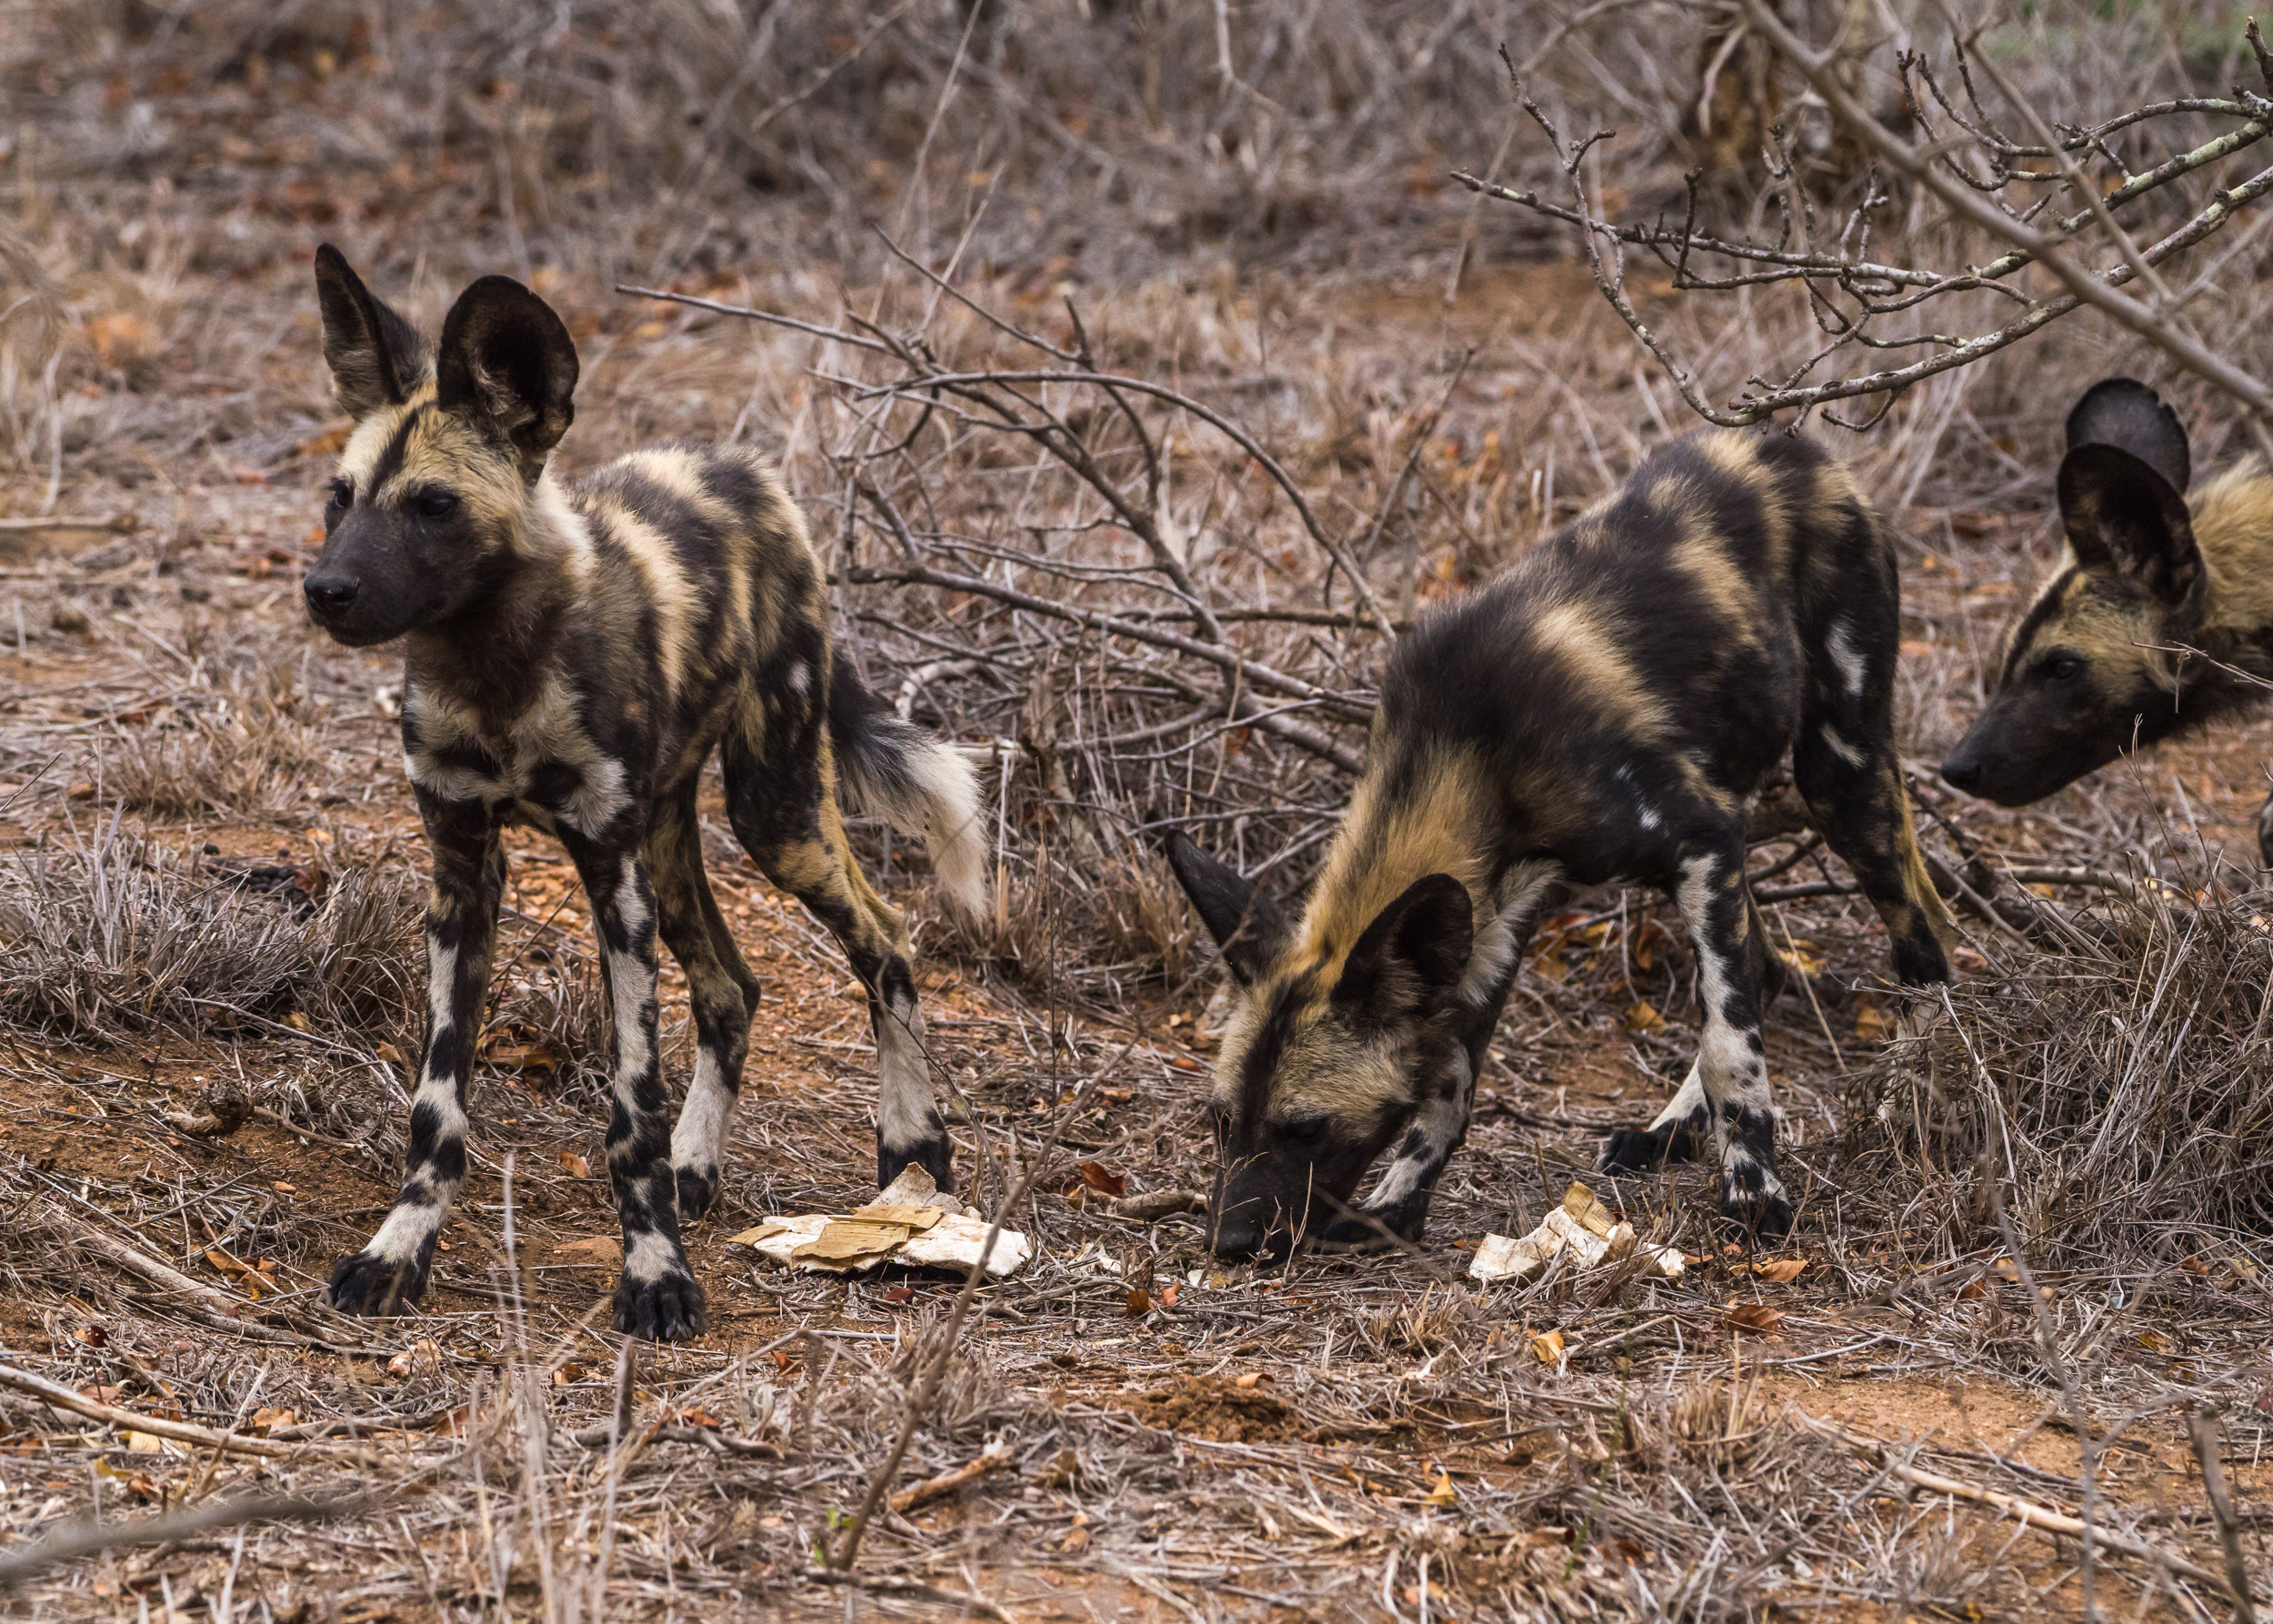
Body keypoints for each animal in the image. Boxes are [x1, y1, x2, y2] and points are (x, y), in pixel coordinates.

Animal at [302, 246, 986, 1337]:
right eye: (340, 496)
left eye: (433, 506)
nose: (325, 590)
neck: (495, 674)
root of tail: (749, 472)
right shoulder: (462, 874)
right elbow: (436, 1105)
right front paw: (398, 1249)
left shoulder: (608, 877)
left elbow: (631, 1110)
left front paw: (657, 1275)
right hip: (670, 840)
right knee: (733, 987)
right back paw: (700, 1166)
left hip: (772, 815)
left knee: (884, 939)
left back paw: (913, 1155)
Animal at [1173, 423, 1955, 1246]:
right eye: (1220, 1122)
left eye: (1305, 1129)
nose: (1228, 1244)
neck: (1470, 753)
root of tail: (1793, 442)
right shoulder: (1494, 923)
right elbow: (1451, 1084)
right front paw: (1399, 1202)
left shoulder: (1700, 840)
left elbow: (1728, 1048)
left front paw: (1753, 1190)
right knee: (1768, 967)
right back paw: (1664, 1135)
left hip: (1840, 777)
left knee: (1921, 943)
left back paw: (1902, 1107)